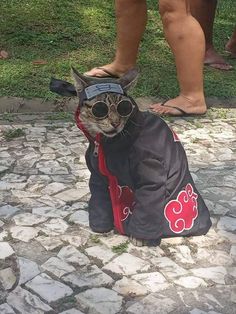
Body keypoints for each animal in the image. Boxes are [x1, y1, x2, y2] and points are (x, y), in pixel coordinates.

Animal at [49, 67, 212, 247]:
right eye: (100, 109)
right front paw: (100, 226)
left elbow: (147, 208)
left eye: (124, 107)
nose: (115, 122)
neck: (104, 144)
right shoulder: (97, 176)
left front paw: (140, 236)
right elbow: (100, 201)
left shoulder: (151, 174)